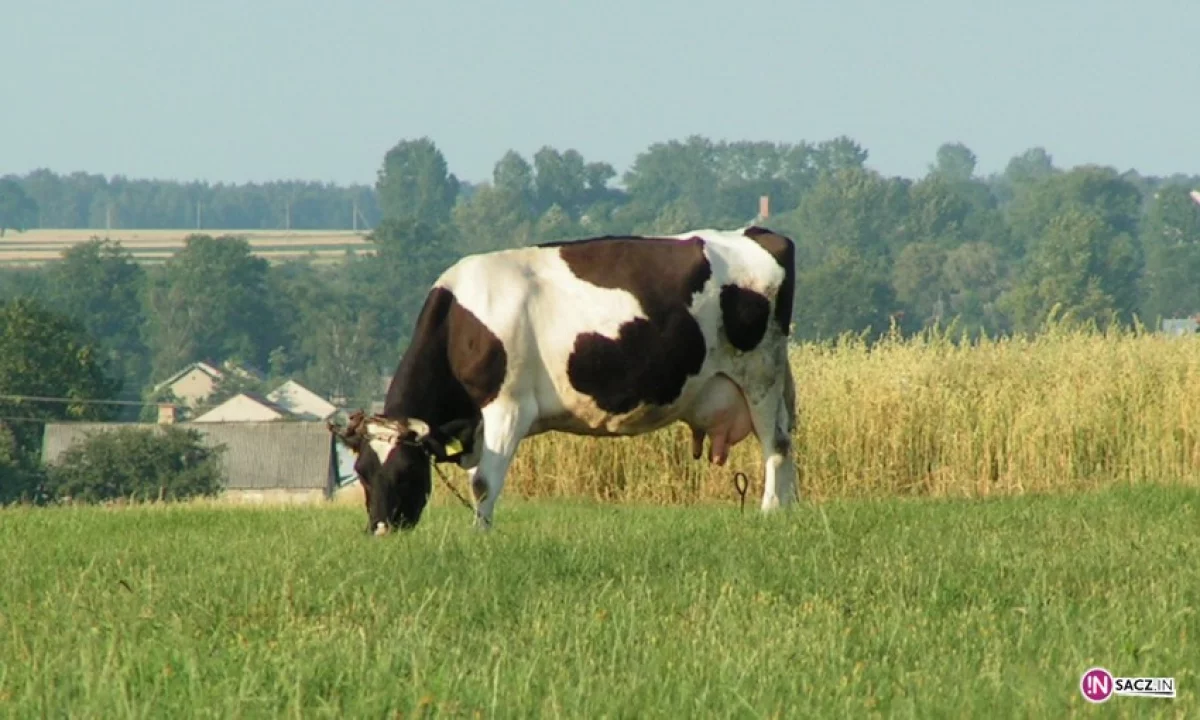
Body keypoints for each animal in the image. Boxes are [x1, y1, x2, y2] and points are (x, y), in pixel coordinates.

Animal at [328, 225, 796, 535]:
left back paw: (771, 511)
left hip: (760, 376)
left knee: (775, 445)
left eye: (406, 471)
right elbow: (477, 476)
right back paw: (793, 508)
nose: (381, 530)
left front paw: (480, 536)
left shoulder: (507, 408)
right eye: (363, 472)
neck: (461, 322)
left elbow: (482, 483)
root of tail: (756, 233)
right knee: (786, 440)